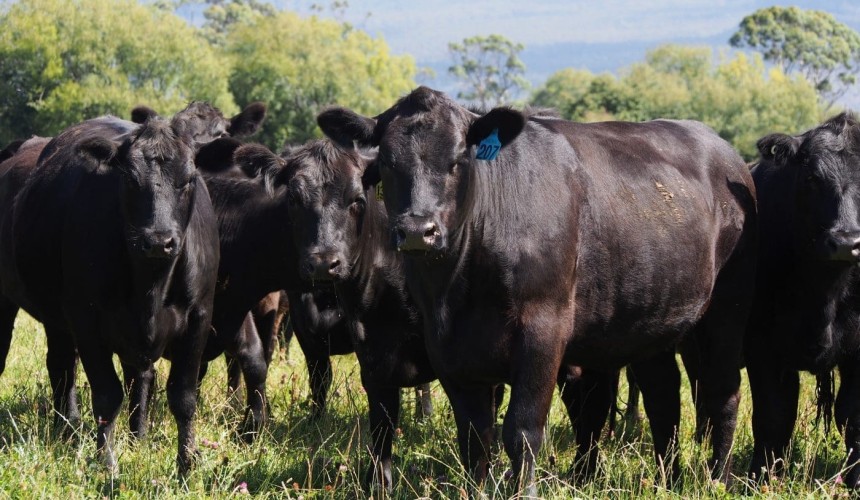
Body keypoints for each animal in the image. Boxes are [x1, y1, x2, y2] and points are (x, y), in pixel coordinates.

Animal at [0, 102, 267, 443]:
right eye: (129, 179)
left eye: (188, 179)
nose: (158, 241)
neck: (151, 286)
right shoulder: (86, 319)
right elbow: (107, 395)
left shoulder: (199, 317)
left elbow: (181, 394)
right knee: (58, 365)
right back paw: (69, 427)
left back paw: (125, 433)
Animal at [317, 86, 757, 494]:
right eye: (388, 163)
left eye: (458, 159)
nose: (416, 230)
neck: (459, 286)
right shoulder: (446, 347)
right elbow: (475, 438)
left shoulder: (543, 333)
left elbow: (523, 432)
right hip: (651, 319)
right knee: (663, 395)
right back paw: (667, 479)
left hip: (726, 311)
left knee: (723, 393)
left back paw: (717, 478)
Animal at [746, 112, 860, 487]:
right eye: (811, 178)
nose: (846, 242)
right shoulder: (762, 347)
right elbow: (774, 415)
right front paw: (763, 479)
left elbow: (853, 416)